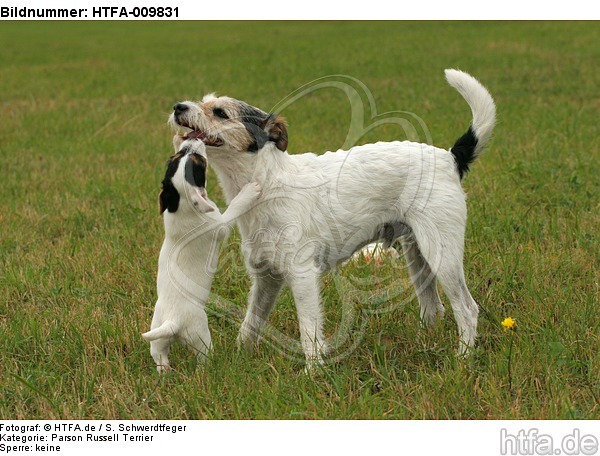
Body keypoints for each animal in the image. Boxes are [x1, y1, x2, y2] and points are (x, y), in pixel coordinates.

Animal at [144, 137, 262, 372]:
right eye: (200, 161)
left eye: (176, 156)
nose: (192, 139)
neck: (180, 205)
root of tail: (172, 321)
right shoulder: (221, 225)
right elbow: (234, 208)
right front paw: (248, 193)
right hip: (200, 335)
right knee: (204, 358)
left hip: (158, 337)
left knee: (160, 358)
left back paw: (166, 373)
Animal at [169, 69, 496, 366]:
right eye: (204, 102)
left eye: (220, 112)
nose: (178, 107)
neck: (266, 184)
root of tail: (449, 158)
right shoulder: (266, 278)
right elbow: (251, 323)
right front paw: (238, 358)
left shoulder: (302, 276)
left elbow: (309, 331)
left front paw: (313, 372)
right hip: (417, 255)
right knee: (433, 307)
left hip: (442, 254)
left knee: (467, 308)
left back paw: (463, 357)